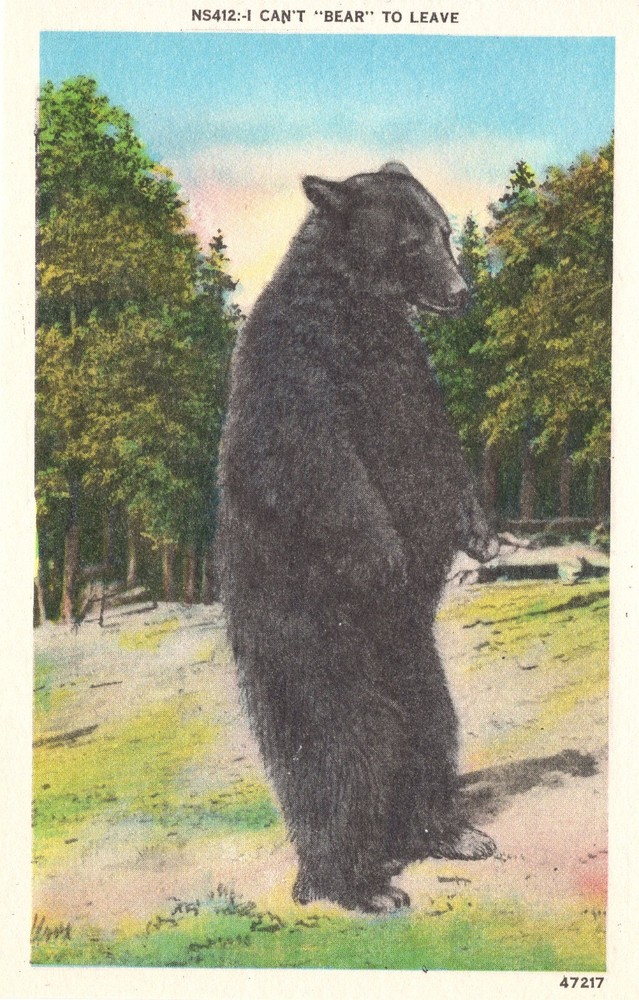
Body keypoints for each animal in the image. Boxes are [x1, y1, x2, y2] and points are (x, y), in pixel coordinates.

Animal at [217, 162, 498, 914]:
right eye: (408, 240)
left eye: (444, 230)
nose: (461, 293)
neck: (362, 308)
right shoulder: (298, 366)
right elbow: (321, 460)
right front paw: (388, 556)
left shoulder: (405, 362)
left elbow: (437, 440)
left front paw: (481, 533)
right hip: (315, 656)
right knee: (343, 751)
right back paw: (355, 884)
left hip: (413, 663)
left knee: (429, 731)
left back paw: (444, 834)